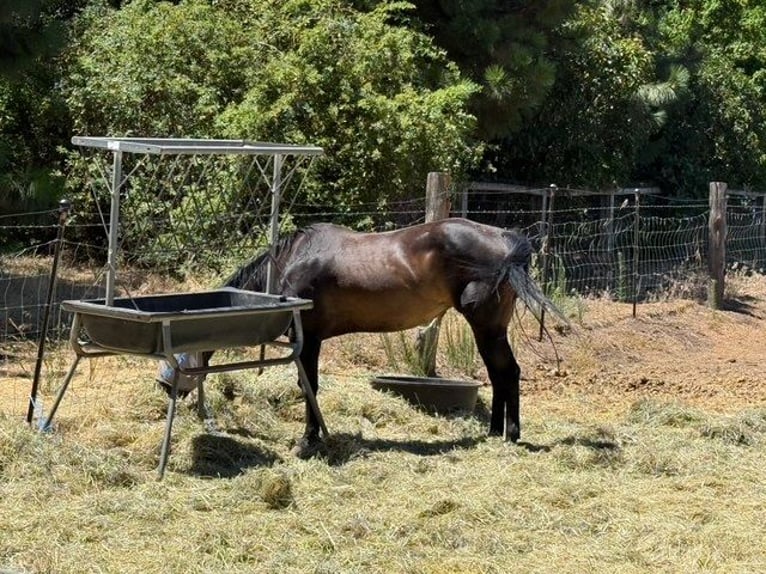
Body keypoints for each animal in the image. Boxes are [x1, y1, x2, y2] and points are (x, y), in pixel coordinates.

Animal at [161, 218, 568, 454]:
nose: (165, 387)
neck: (293, 261)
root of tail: (505, 239)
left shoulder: (309, 340)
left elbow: (309, 385)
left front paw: (308, 441)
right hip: (491, 329)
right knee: (499, 375)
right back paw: (494, 432)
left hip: (486, 327)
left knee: (507, 372)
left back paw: (510, 434)